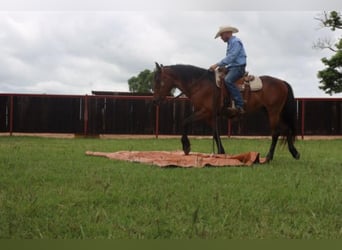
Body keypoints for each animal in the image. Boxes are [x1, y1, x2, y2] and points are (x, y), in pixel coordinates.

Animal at [152, 61, 300, 161]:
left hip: (273, 112)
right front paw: (221, 152)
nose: (155, 101)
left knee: (276, 133)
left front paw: (186, 147)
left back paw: (269, 157)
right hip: (272, 112)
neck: (201, 84)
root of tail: (282, 82)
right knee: (287, 130)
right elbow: (216, 133)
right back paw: (295, 153)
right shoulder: (210, 116)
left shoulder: (205, 112)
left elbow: (185, 121)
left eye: (159, 80)